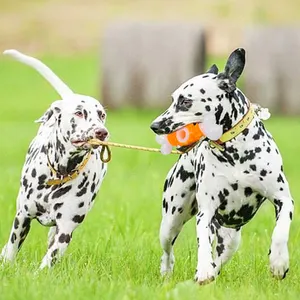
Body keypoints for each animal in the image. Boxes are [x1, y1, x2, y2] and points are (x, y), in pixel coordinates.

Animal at [0, 49, 108, 270]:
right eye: (79, 113)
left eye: (101, 115)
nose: (102, 132)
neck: (60, 173)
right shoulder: (22, 218)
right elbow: (12, 249)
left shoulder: (65, 229)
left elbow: (49, 260)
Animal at [150, 48, 292, 284]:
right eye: (172, 99)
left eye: (185, 101)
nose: (155, 125)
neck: (235, 153)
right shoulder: (206, 212)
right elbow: (203, 243)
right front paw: (203, 268)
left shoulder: (284, 199)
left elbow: (280, 232)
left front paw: (279, 262)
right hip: (171, 222)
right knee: (168, 252)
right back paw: (170, 272)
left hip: (231, 240)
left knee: (220, 258)